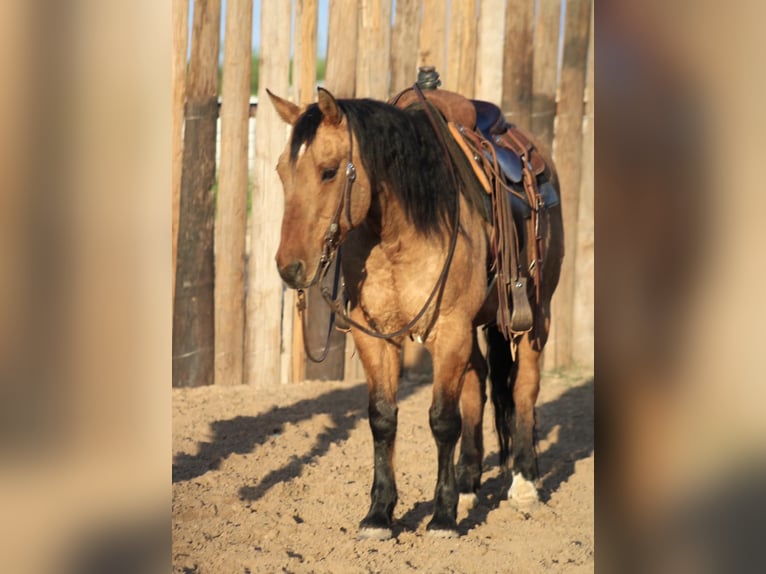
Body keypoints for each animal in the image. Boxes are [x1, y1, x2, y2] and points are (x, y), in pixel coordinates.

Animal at [268, 74, 564, 544]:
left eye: (329, 171)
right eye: (282, 171)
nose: (290, 267)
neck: (399, 230)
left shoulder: (451, 328)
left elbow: (442, 420)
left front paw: (442, 516)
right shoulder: (374, 334)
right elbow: (382, 418)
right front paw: (379, 514)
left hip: (536, 314)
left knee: (524, 388)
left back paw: (524, 484)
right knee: (477, 385)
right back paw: (468, 483)